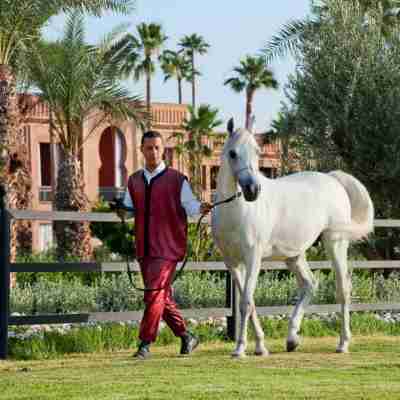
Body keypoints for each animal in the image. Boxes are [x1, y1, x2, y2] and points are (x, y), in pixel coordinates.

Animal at [212, 119, 376, 356]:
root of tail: (333, 179)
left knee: (343, 289)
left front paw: (240, 348)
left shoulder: (253, 259)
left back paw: (343, 343)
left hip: (335, 243)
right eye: (233, 153)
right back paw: (292, 339)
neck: (236, 211)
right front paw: (260, 347)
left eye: (257, 151)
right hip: (295, 255)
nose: (253, 190)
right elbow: (249, 302)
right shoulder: (233, 264)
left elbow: (245, 303)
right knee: (309, 284)